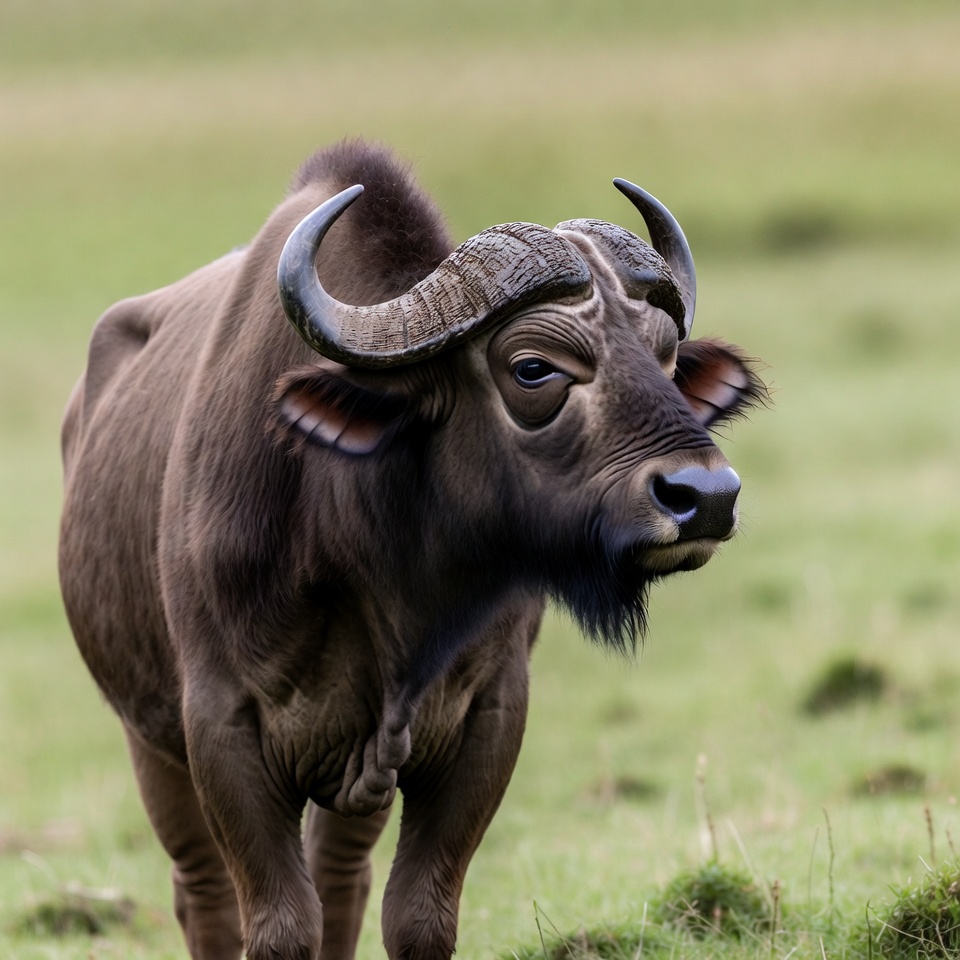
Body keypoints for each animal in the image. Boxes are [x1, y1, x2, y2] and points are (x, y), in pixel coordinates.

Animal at [59, 140, 765, 960]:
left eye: (666, 355)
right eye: (533, 367)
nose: (706, 496)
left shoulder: (486, 718)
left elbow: (419, 918)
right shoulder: (219, 726)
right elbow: (277, 926)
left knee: (342, 879)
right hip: (149, 737)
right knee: (203, 893)